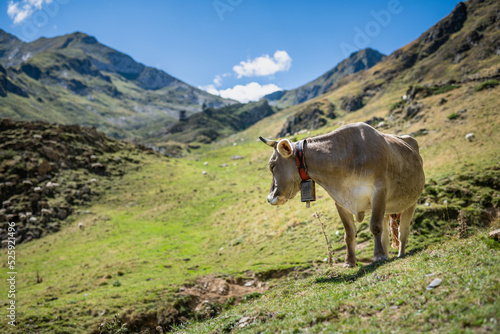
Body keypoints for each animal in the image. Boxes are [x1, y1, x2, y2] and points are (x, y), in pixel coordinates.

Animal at [260, 122, 424, 266]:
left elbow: (375, 226)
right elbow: (349, 233)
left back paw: (399, 254)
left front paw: (378, 256)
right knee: (385, 235)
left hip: (411, 202)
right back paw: (387, 255)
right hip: (386, 209)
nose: (270, 198)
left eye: (272, 166)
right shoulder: (340, 201)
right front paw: (349, 262)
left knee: (403, 232)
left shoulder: (379, 191)